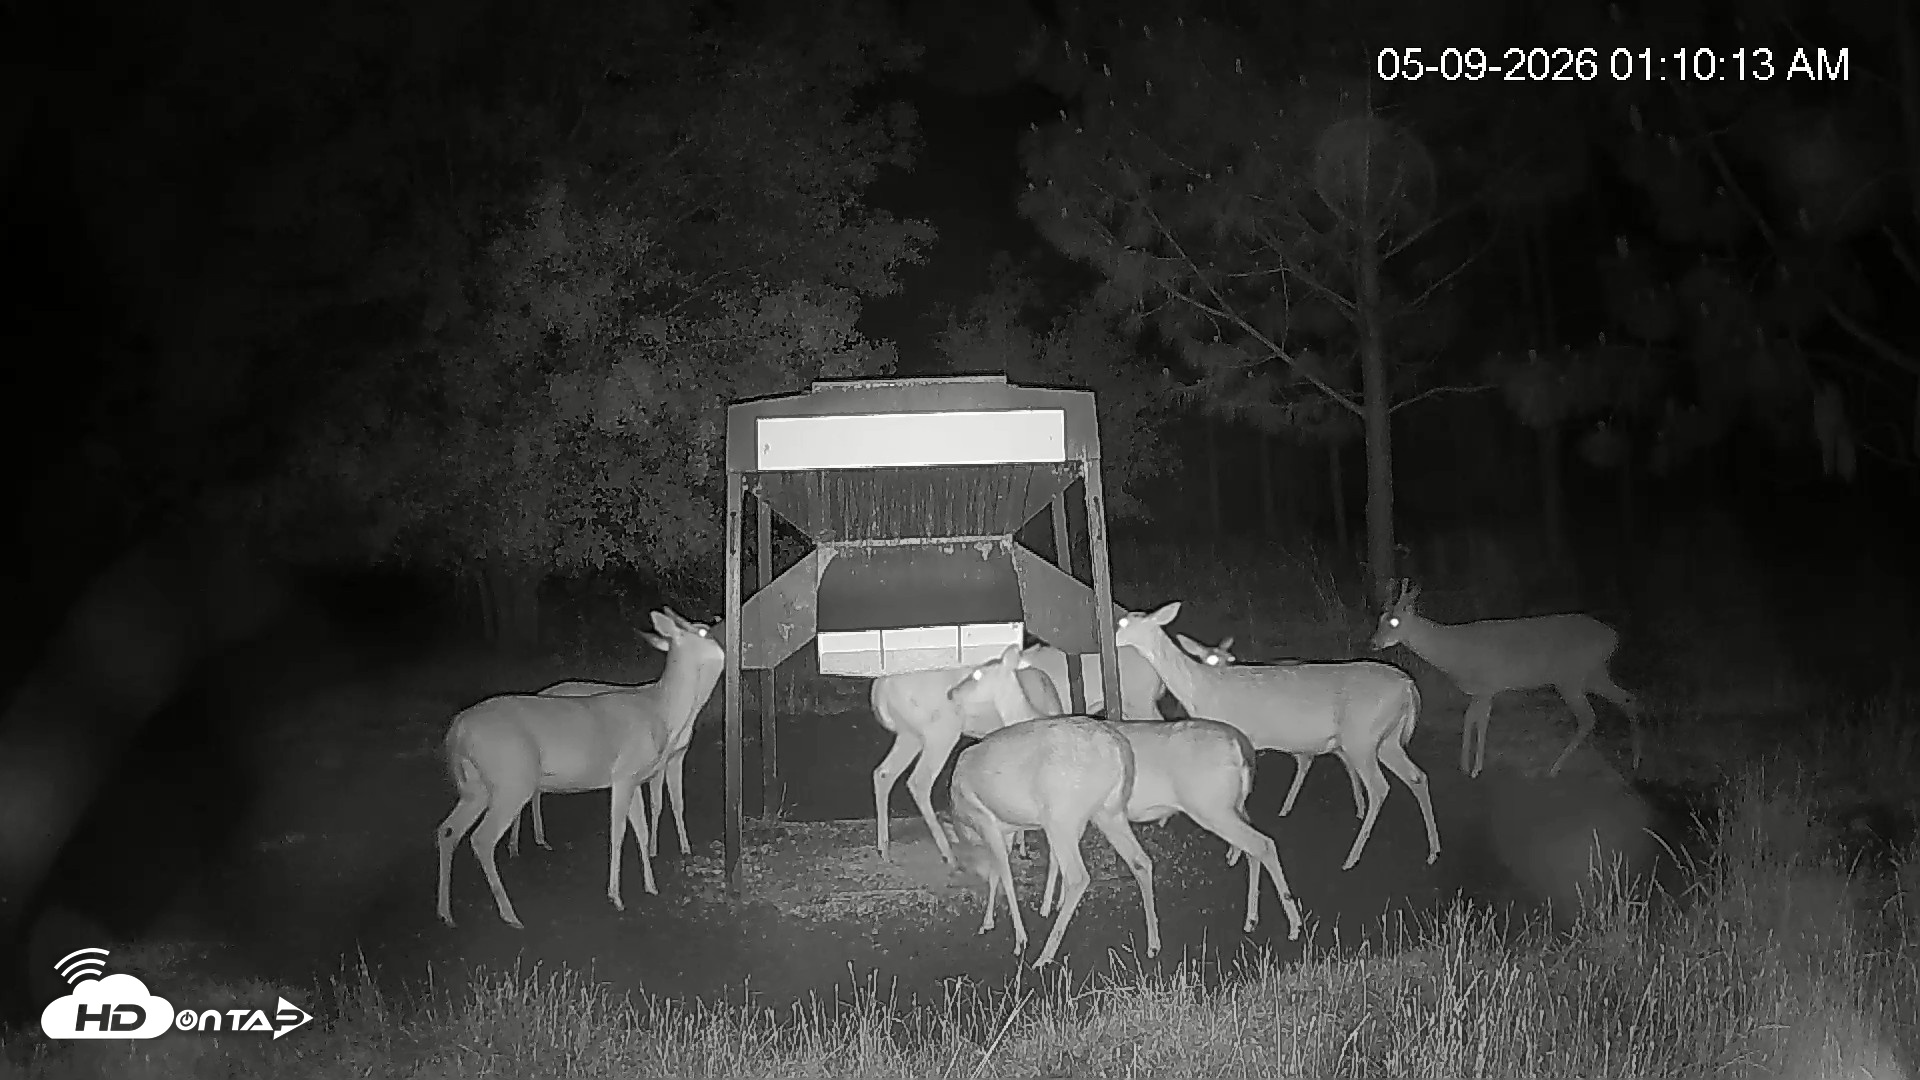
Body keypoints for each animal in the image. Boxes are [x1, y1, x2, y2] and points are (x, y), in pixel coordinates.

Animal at [435, 609, 724, 929]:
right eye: (702, 632)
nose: (722, 635)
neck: (660, 711)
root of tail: (457, 730)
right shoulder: (625, 773)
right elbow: (619, 830)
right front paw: (616, 897)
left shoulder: (635, 776)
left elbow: (642, 828)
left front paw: (650, 886)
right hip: (511, 778)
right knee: (482, 838)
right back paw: (511, 915)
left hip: (477, 786)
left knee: (447, 830)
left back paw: (446, 913)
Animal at [869, 656, 1065, 866]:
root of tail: (880, 688)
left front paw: (1021, 846)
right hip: (940, 731)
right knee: (919, 781)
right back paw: (949, 855)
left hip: (910, 734)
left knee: (883, 773)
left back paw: (884, 850)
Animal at [942, 644, 1161, 967]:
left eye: (978, 673)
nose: (951, 694)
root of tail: (1119, 750)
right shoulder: (1005, 826)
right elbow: (997, 872)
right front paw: (988, 922)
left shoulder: (985, 819)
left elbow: (1005, 874)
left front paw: (1020, 938)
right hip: (1107, 811)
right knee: (1141, 861)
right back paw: (1153, 943)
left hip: (1062, 814)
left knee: (1078, 877)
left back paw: (1044, 955)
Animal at [952, 642, 1303, 940]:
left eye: (978, 672)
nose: (952, 693)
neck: (1030, 717)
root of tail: (1237, 747)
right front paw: (1052, 902)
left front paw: (1044, 906)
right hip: (1231, 805)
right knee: (1253, 847)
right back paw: (1251, 915)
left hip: (1211, 806)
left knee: (1262, 845)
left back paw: (1293, 924)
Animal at [1370, 579, 1642, 779]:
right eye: (1381, 618)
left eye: (1395, 621)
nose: (1374, 642)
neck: (1455, 654)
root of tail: (1613, 637)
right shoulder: (1478, 690)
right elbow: (1469, 718)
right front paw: (1463, 764)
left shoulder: (1488, 685)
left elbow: (1481, 722)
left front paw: (1476, 769)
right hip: (1594, 674)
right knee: (1628, 699)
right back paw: (1636, 761)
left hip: (1571, 677)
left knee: (1588, 718)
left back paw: (1554, 768)